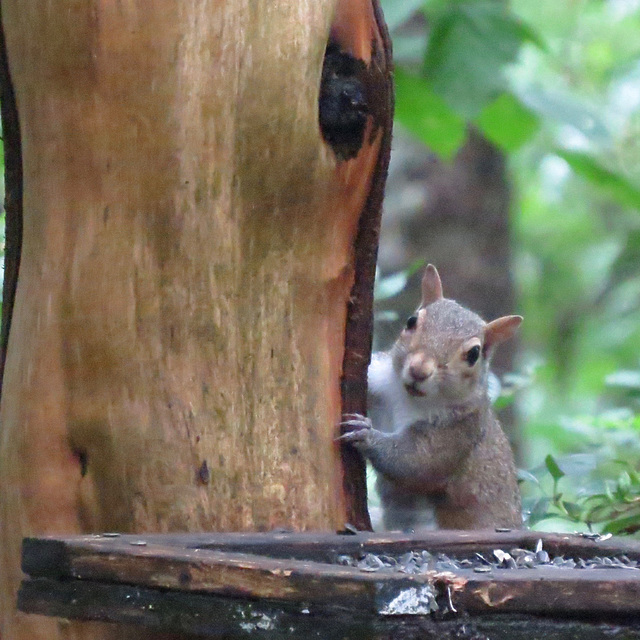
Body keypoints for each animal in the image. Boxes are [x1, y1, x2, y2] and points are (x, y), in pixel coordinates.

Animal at [338, 264, 524, 528]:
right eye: (411, 321)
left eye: (474, 354)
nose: (419, 370)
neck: (409, 398)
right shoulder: (379, 382)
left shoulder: (458, 433)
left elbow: (415, 462)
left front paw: (364, 434)